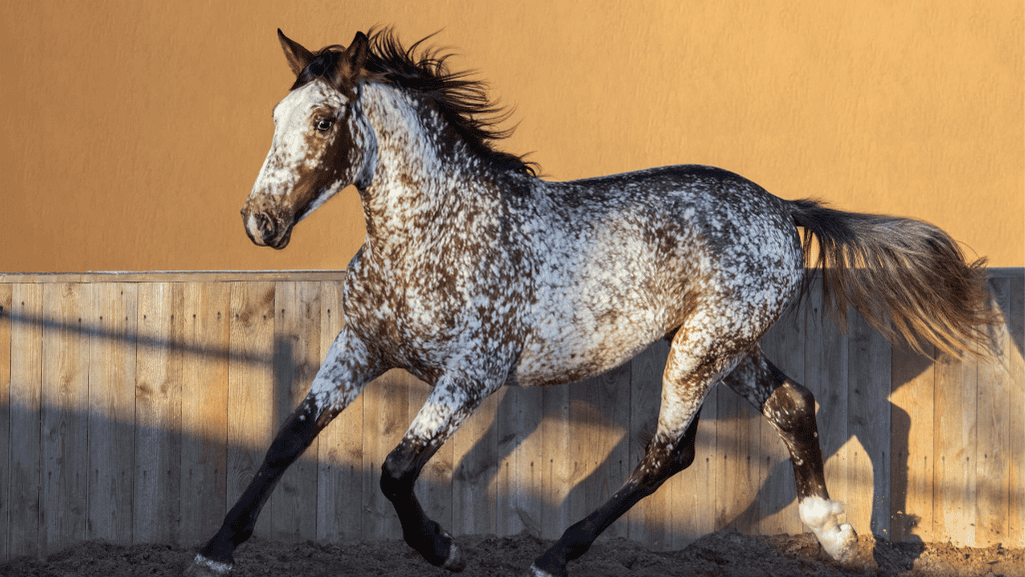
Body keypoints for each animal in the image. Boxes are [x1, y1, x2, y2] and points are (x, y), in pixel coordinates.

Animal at [186, 28, 994, 577]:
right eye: (274, 117)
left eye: (324, 121)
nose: (260, 224)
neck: (430, 233)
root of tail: (780, 207)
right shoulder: (360, 345)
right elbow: (289, 437)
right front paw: (216, 547)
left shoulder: (472, 373)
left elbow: (395, 467)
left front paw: (441, 546)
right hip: (728, 346)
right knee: (793, 404)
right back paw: (835, 535)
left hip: (700, 347)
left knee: (670, 452)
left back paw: (556, 553)